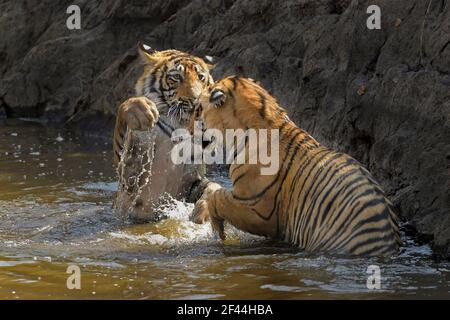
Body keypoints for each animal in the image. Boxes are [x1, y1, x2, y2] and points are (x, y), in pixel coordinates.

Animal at [112, 42, 221, 221]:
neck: (180, 124)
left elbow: (213, 186)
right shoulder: (129, 183)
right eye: (176, 77)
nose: (197, 100)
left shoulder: (193, 178)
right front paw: (142, 112)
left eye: (201, 77)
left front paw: (201, 214)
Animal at [192, 76, 402, 256]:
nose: (188, 128)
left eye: (199, 109)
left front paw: (213, 226)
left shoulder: (257, 209)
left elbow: (218, 197)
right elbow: (215, 191)